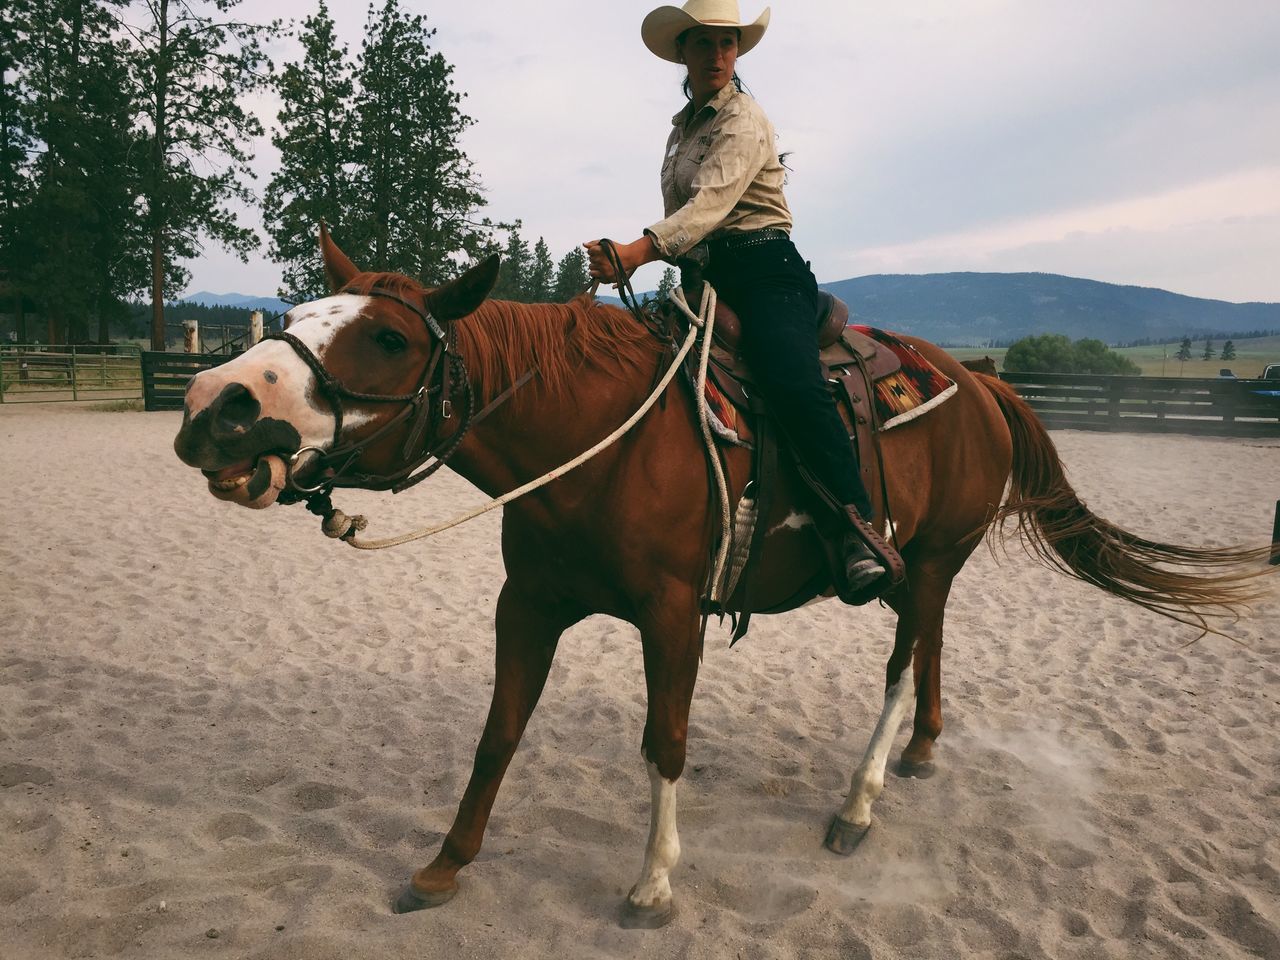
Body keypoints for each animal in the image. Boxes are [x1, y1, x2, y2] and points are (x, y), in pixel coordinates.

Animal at [172, 229, 1269, 926]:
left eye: (391, 337)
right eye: (298, 312)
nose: (213, 406)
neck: (598, 438)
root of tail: (983, 381)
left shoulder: (672, 615)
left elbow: (664, 743)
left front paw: (653, 887)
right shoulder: (526, 606)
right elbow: (497, 734)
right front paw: (444, 865)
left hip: (919, 564)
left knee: (897, 668)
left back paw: (858, 803)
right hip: (934, 566)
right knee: (930, 652)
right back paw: (919, 751)